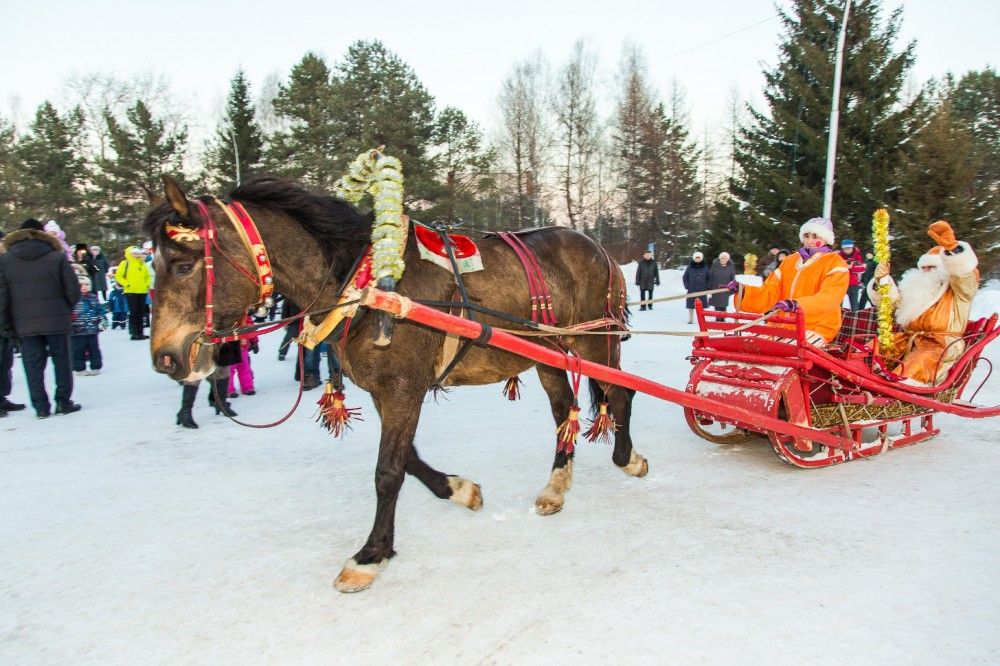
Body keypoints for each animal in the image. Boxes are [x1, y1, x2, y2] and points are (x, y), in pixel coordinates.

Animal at [145, 172, 644, 592]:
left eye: (183, 265)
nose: (165, 357)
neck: (366, 285)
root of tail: (599, 249)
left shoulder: (404, 389)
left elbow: (388, 472)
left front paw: (371, 554)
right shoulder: (385, 391)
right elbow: (410, 461)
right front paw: (459, 490)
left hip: (596, 341)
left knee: (620, 391)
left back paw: (627, 457)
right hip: (546, 353)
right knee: (563, 409)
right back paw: (556, 486)